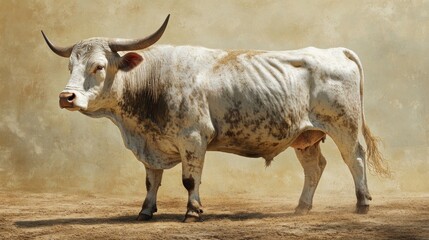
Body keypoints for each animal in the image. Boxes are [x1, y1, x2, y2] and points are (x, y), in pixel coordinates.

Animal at [42, 14, 388, 221]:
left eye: (99, 66)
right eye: (70, 66)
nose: (65, 97)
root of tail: (336, 51)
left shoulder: (193, 139)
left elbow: (189, 179)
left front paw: (193, 211)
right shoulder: (151, 144)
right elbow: (152, 180)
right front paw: (145, 211)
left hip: (344, 126)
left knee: (355, 158)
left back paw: (362, 203)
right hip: (305, 137)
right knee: (315, 167)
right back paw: (302, 207)